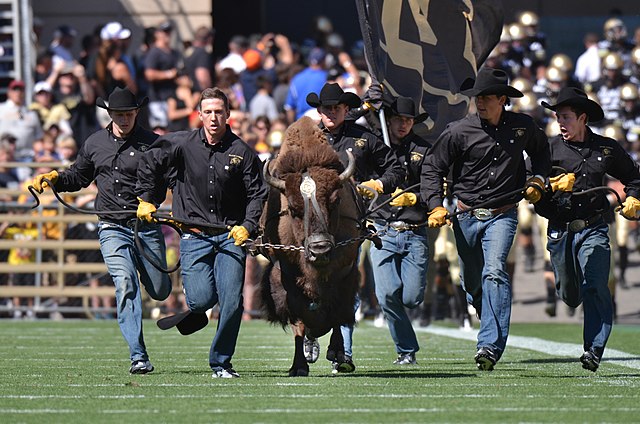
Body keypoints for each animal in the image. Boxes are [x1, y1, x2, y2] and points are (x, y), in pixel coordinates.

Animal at [256, 117, 364, 378]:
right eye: (293, 209)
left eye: (335, 201)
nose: (320, 249)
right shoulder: (287, 277)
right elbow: (299, 320)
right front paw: (298, 366)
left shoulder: (345, 273)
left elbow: (338, 312)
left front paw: (338, 354)